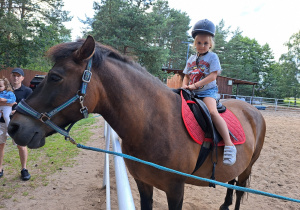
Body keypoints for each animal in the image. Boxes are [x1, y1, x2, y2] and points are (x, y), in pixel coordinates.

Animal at [7, 36, 264, 210]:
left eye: (55, 77)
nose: (13, 126)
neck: (155, 125)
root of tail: (253, 109)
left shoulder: (176, 190)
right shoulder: (143, 184)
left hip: (247, 168)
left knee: (239, 192)